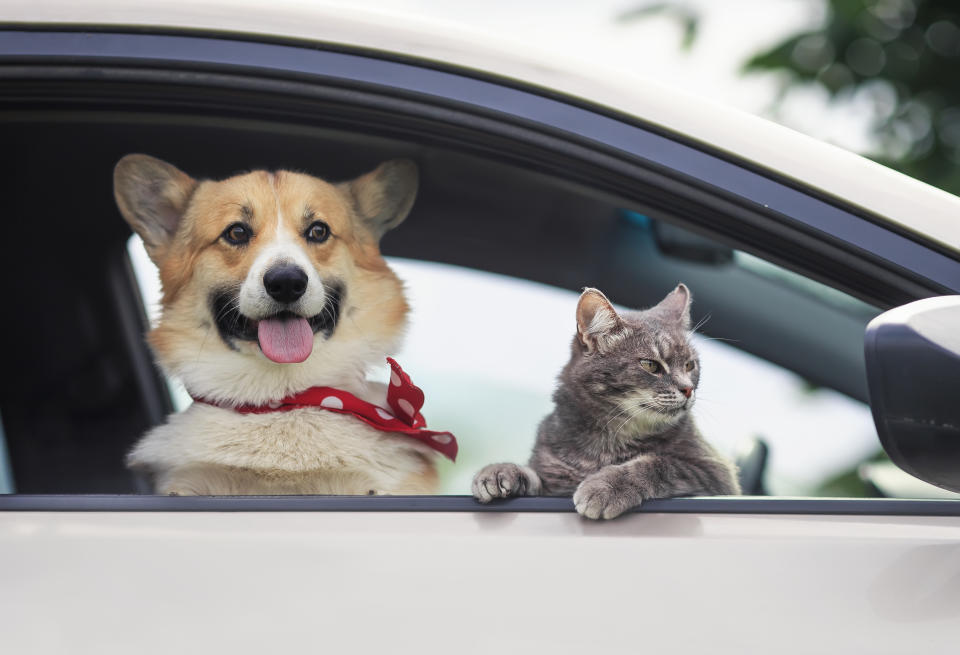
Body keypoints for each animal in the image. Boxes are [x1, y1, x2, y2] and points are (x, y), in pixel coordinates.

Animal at [476, 284, 740, 520]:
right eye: (650, 365)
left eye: (689, 365)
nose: (688, 389)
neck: (609, 438)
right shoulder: (553, 478)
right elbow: (535, 476)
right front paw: (502, 471)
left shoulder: (716, 473)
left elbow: (660, 463)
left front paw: (606, 487)